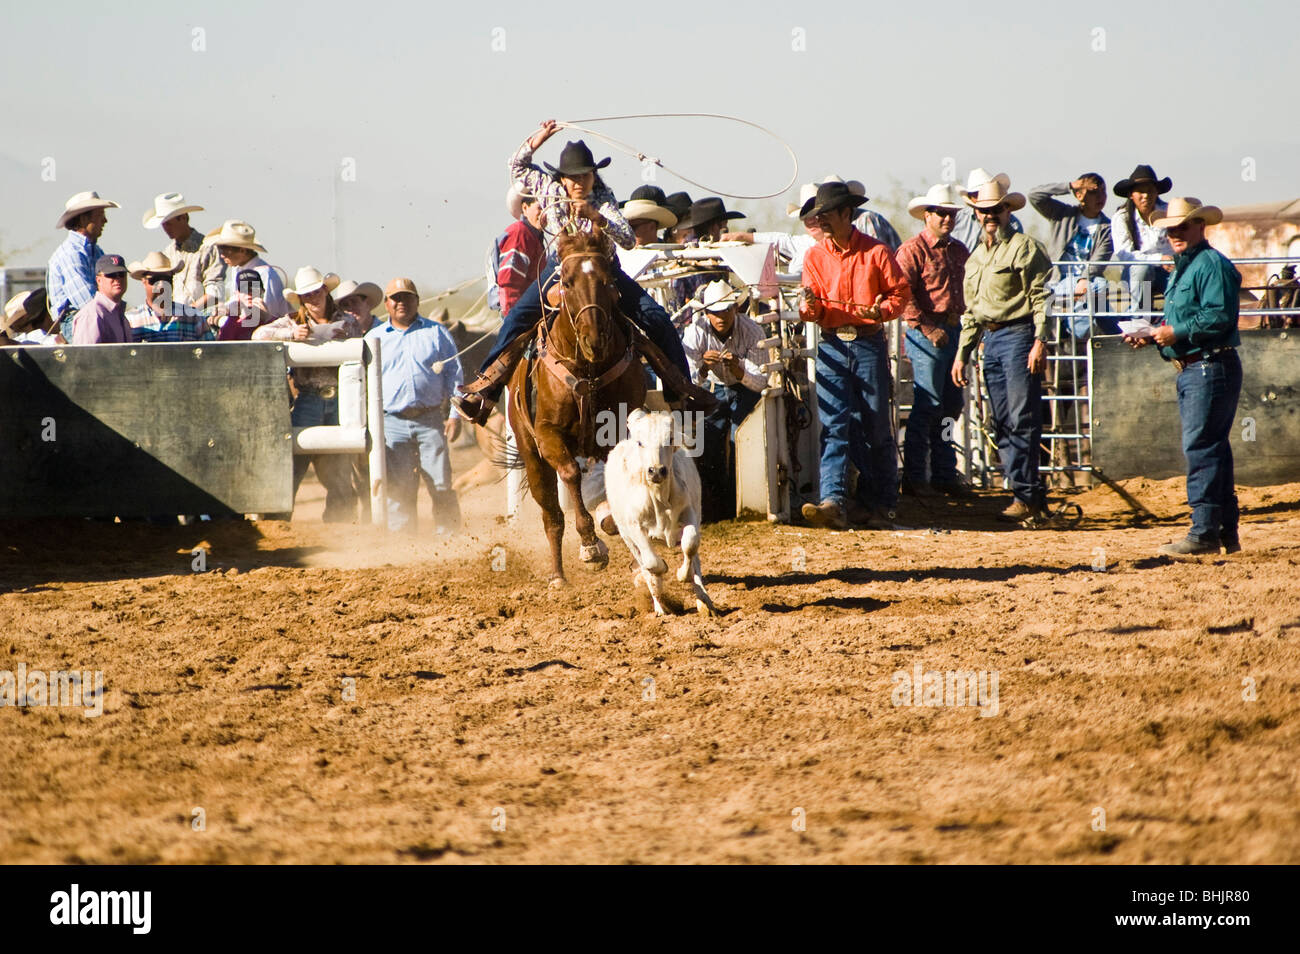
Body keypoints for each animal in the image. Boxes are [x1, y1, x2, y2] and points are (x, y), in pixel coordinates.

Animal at [506, 233, 650, 582]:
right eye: (567, 282)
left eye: (608, 280)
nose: (594, 339)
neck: (588, 370)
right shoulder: (548, 434)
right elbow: (571, 474)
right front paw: (590, 545)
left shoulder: (618, 428)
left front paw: (610, 521)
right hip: (532, 455)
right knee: (552, 515)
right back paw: (558, 575)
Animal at [603, 410, 717, 621]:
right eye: (640, 442)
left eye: (670, 439)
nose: (656, 470)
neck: (659, 498)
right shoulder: (634, 527)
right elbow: (651, 563)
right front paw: (662, 570)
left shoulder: (689, 512)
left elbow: (690, 544)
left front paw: (682, 574)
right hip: (627, 537)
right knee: (644, 565)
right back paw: (660, 606)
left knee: (695, 559)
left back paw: (704, 601)